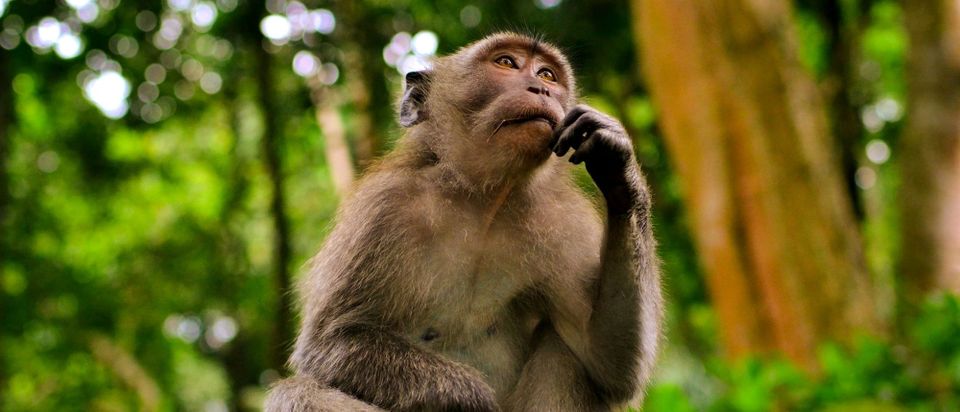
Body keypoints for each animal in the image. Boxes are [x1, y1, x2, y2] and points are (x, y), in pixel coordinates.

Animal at [265, 32, 663, 411]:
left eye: (547, 74)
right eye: (507, 63)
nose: (541, 88)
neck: (482, 201)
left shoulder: (563, 222)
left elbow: (607, 364)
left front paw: (616, 160)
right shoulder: (381, 210)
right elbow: (330, 342)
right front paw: (472, 397)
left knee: (563, 351)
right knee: (296, 393)